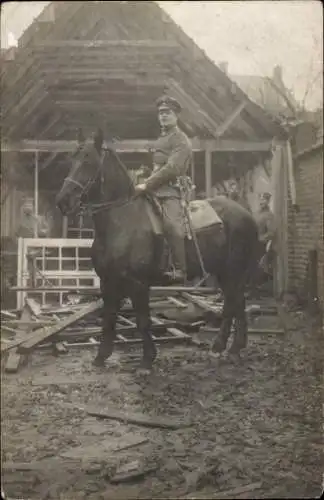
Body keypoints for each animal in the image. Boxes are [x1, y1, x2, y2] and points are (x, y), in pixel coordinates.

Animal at [55, 129, 258, 372]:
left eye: (88, 160)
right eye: (72, 159)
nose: (63, 201)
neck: (122, 219)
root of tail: (246, 214)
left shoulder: (138, 284)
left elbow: (143, 321)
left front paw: (146, 360)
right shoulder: (108, 282)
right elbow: (109, 317)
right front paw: (101, 357)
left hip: (233, 271)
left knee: (234, 303)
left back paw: (231, 348)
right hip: (225, 273)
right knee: (234, 303)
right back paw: (225, 347)